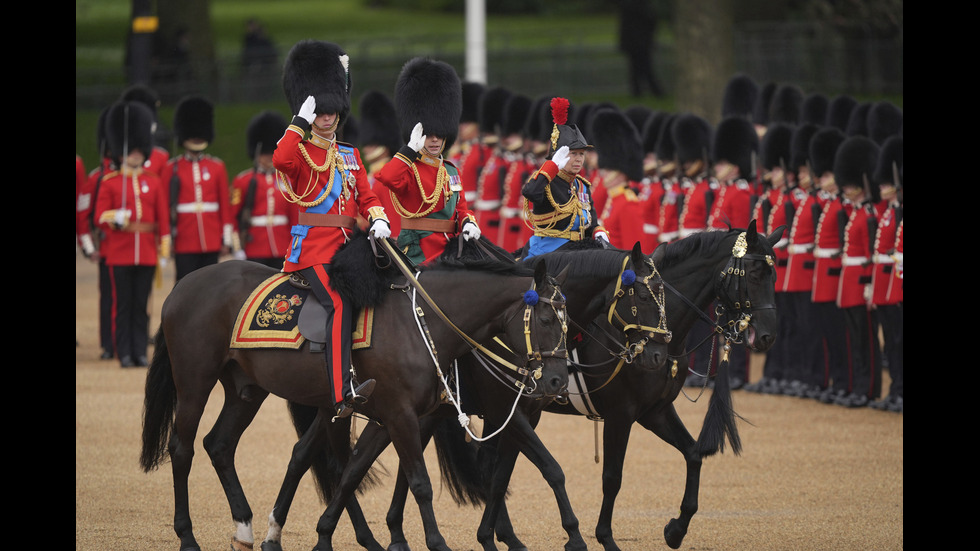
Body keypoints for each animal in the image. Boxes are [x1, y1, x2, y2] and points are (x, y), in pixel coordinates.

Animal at [134, 234, 572, 551]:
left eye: (568, 323)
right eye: (547, 318)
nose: (557, 382)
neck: (423, 323)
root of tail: (185, 285)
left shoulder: (393, 416)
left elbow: (353, 472)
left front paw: (335, 535)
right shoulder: (402, 414)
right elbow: (420, 481)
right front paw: (436, 542)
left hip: (247, 390)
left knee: (222, 445)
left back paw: (246, 529)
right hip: (195, 381)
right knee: (182, 448)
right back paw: (188, 536)